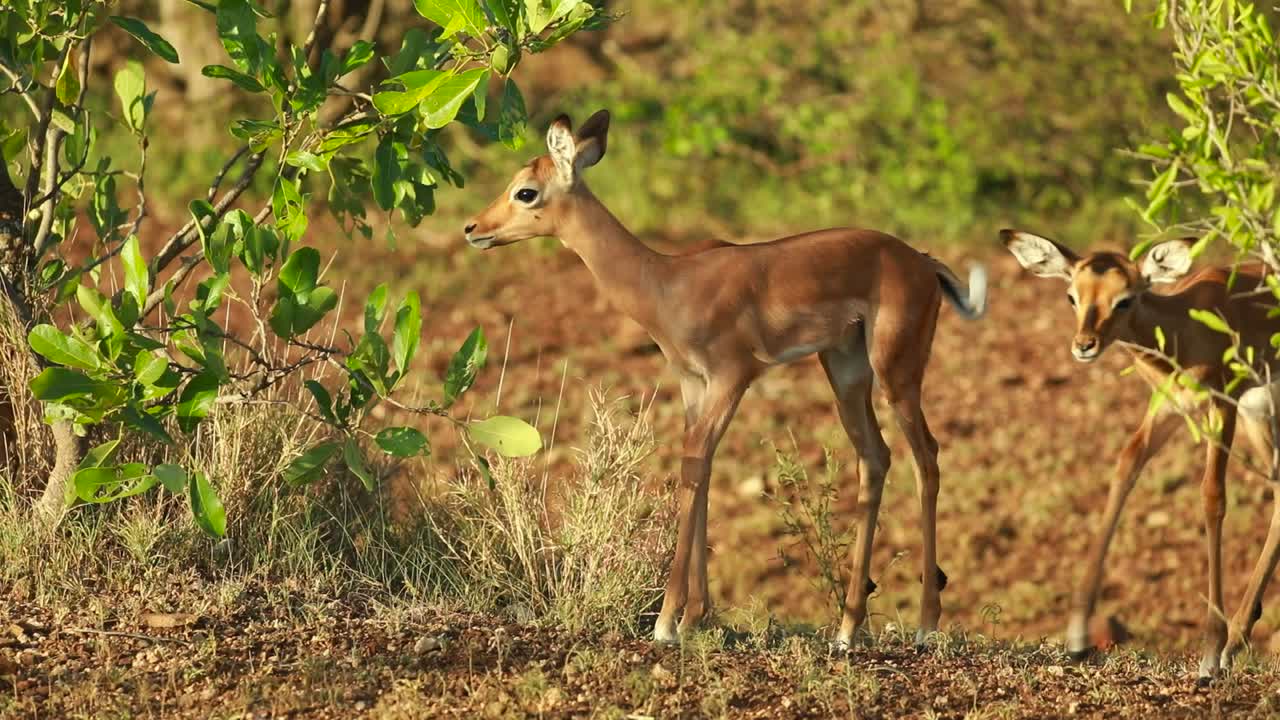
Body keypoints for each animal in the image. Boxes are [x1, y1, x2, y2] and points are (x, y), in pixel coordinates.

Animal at [463, 109, 988, 648]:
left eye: (526, 191)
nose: (472, 227)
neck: (666, 282)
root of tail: (922, 262)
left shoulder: (733, 377)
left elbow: (694, 467)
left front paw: (667, 623)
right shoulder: (693, 384)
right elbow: (701, 470)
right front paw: (696, 615)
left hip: (896, 372)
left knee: (927, 457)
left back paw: (926, 624)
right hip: (845, 373)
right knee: (875, 458)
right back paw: (846, 628)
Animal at [1003, 229, 1280, 682]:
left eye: (1125, 298)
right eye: (1071, 295)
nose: (1084, 345)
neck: (1185, 324)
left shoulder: (1222, 406)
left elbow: (1212, 497)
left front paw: (1209, 651)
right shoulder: (1168, 406)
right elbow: (1125, 466)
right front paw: (1077, 634)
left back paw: (1230, 643)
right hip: (1259, 414)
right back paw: (1239, 637)